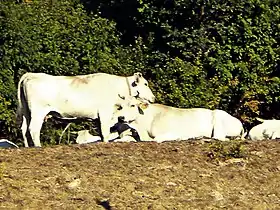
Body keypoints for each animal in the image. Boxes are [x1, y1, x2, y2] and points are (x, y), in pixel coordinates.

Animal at [16, 71, 155, 147]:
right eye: (145, 84)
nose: (153, 98)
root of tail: (30, 75)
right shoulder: (105, 113)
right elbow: (105, 132)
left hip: (26, 112)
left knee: (24, 129)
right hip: (38, 112)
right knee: (33, 129)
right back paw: (38, 146)